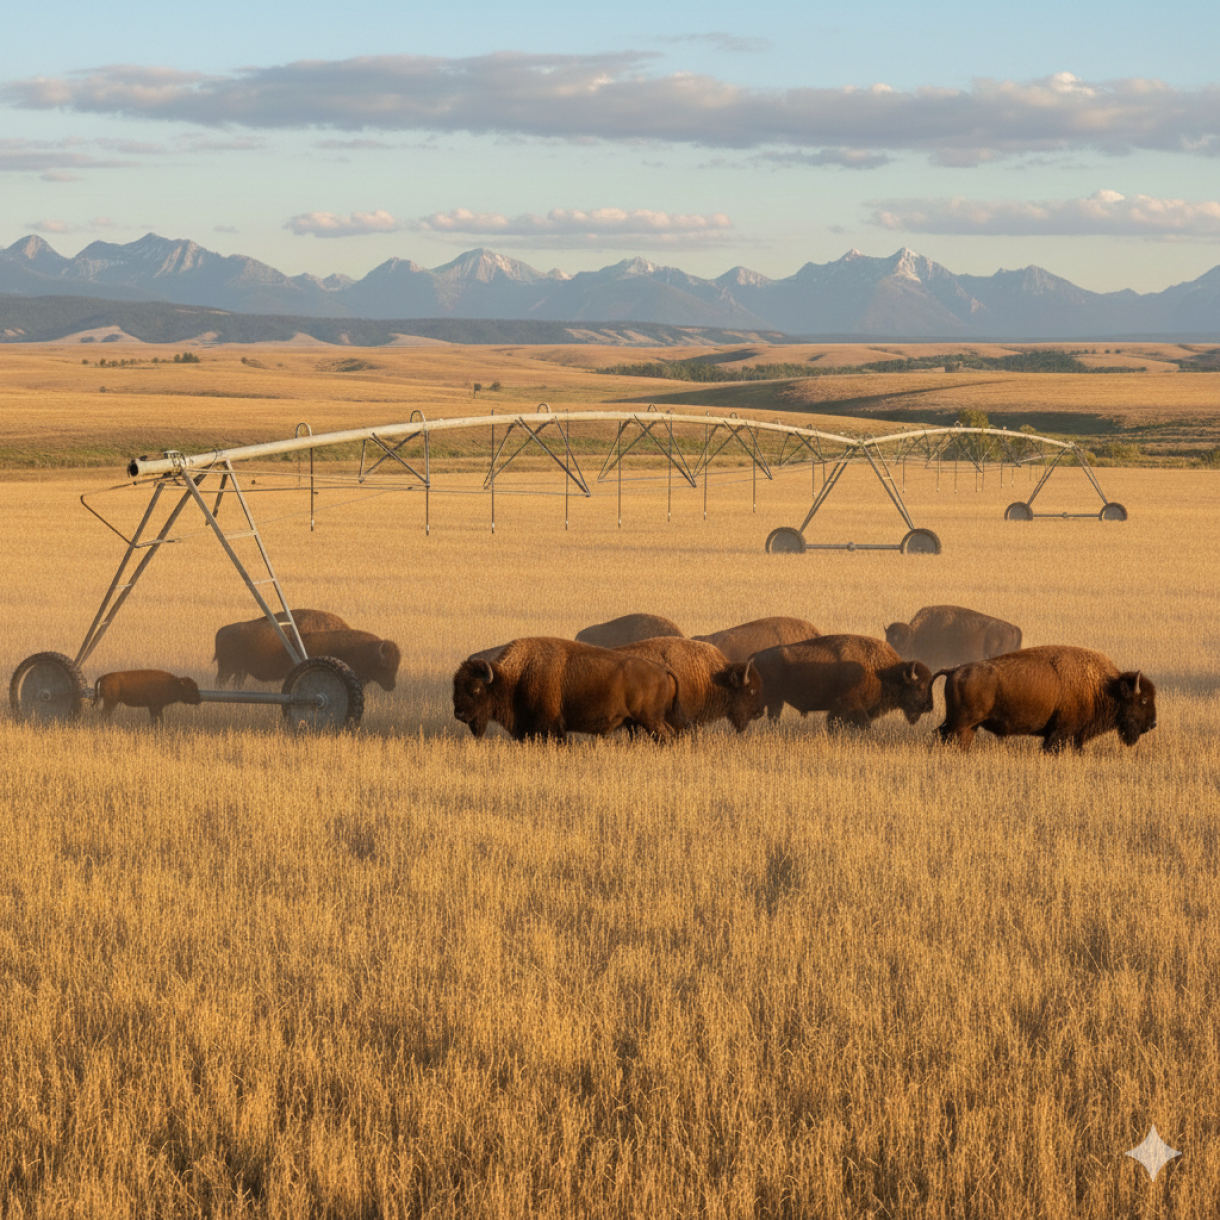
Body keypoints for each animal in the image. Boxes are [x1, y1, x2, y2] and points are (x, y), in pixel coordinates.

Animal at [452, 636, 686, 742]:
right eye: (455, 687)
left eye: (476, 689)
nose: (459, 714)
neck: (516, 676)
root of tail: (662, 669)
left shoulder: (552, 727)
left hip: (650, 720)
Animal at [750, 634, 934, 729]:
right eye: (920, 686)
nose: (928, 707)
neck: (881, 670)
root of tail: (756, 656)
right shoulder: (850, 706)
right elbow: (863, 724)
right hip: (773, 700)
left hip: (774, 701)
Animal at [936, 645, 1156, 752]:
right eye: (1144, 700)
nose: (1153, 724)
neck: (1103, 686)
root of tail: (954, 670)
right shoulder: (1059, 734)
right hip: (962, 724)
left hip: (968, 725)